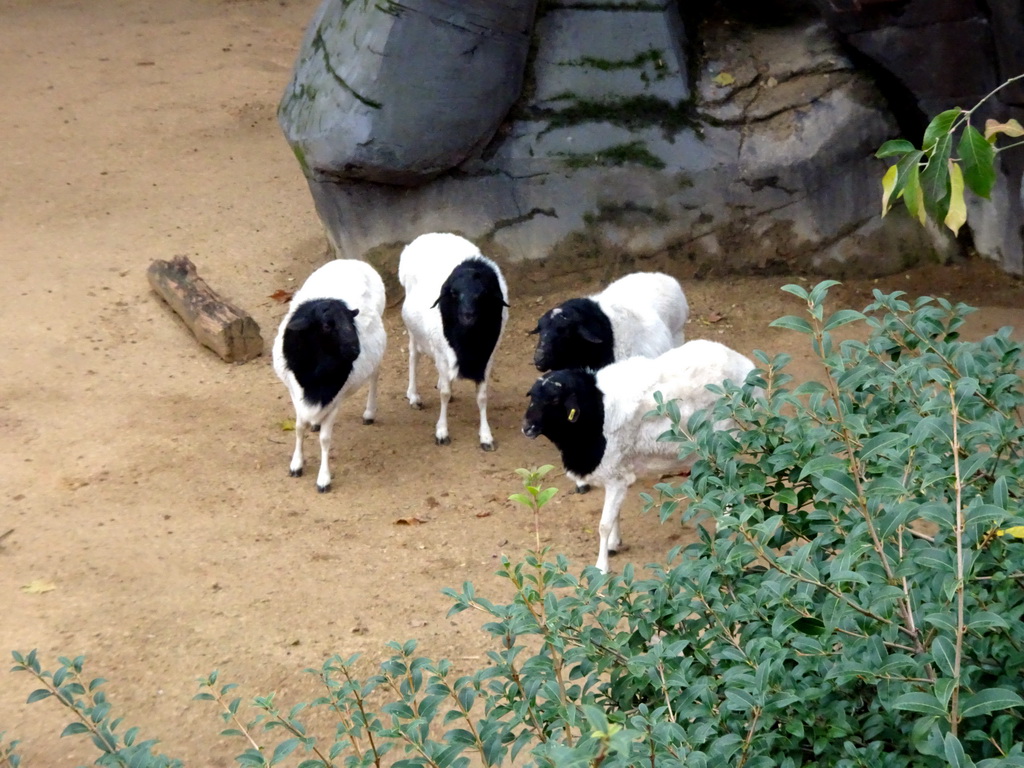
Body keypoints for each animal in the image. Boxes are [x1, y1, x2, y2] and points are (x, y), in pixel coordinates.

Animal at [270, 259, 385, 493]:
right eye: (326, 326)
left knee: (374, 376)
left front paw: (323, 478)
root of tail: (351, 261)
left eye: (352, 322)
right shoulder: (295, 393)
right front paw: (296, 464)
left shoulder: (335, 400)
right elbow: (299, 428)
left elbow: (325, 439)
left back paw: (369, 412)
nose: (355, 350)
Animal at [399, 233, 512, 450]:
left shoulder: (487, 358)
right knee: (413, 356)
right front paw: (442, 432)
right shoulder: (443, 354)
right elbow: (444, 393)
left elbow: (482, 397)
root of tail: (430, 235)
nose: (467, 316)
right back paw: (414, 396)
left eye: (483, 294)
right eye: (453, 293)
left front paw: (486, 436)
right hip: (414, 332)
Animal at [524, 339, 757, 573]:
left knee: (730, 484)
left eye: (555, 400)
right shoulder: (616, 472)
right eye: (532, 397)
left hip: (725, 442)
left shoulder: (616, 477)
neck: (596, 411)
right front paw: (613, 545)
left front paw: (601, 566)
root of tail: (744, 364)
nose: (527, 428)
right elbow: (615, 515)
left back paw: (725, 526)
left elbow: (603, 525)